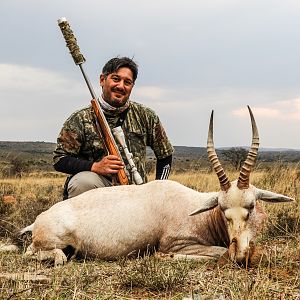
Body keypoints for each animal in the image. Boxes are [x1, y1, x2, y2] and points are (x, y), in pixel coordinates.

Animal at [18, 105, 292, 264]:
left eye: (251, 206)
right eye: (223, 211)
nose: (241, 256)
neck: (198, 211)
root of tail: (38, 221)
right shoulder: (177, 242)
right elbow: (217, 252)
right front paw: (167, 257)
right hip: (52, 244)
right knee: (42, 254)